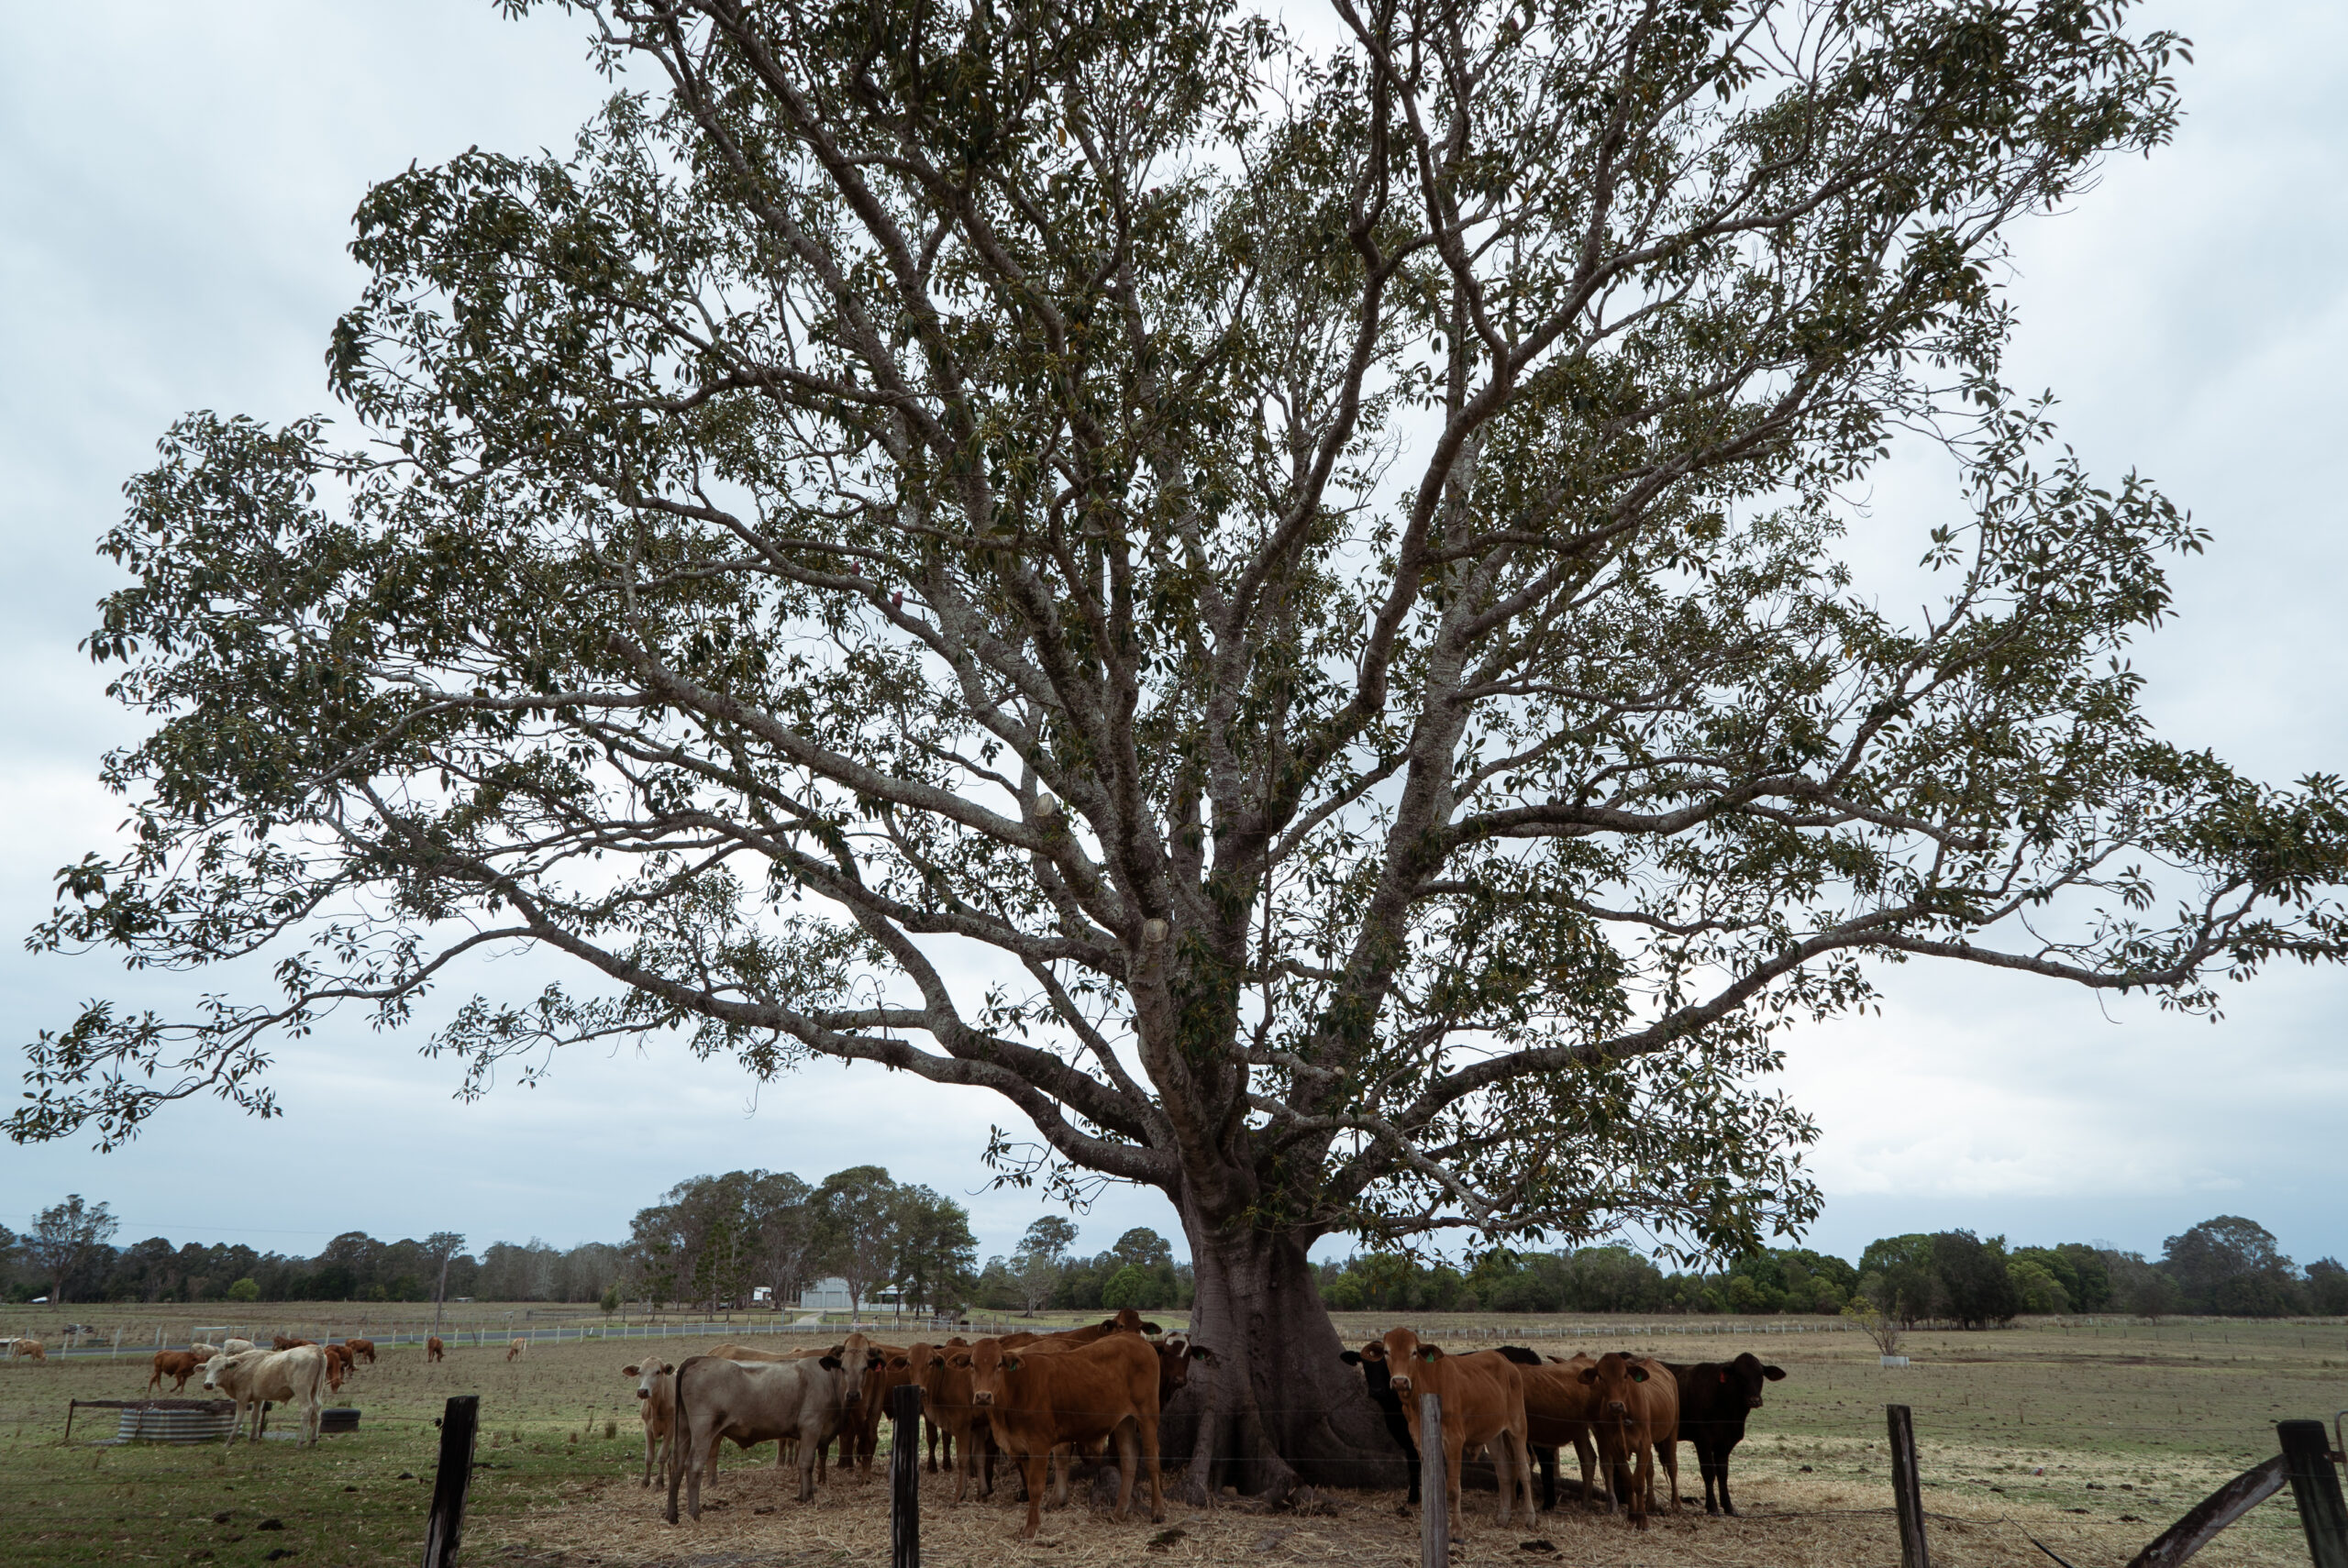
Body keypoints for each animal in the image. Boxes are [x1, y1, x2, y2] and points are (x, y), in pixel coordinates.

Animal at [203, 1352, 326, 1445]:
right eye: (207, 1369)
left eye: (221, 1369)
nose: (208, 1384)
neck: (242, 1366)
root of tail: (315, 1349)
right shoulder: (259, 1398)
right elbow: (255, 1416)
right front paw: (253, 1439)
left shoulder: (242, 1397)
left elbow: (239, 1418)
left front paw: (229, 1442)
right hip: (316, 1390)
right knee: (317, 1408)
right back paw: (313, 1440)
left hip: (301, 1389)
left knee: (307, 1408)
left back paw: (300, 1441)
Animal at [962, 1333, 1164, 1540]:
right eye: (972, 1364)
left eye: (999, 1364)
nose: (983, 1396)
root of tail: (1134, 1338)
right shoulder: (1020, 1447)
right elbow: (1029, 1484)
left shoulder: (1039, 1444)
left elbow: (1036, 1487)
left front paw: (1031, 1528)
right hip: (1124, 1421)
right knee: (1129, 1458)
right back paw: (1119, 1513)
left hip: (1148, 1414)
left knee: (1152, 1459)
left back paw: (1157, 1511)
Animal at [1662, 1352, 1784, 1511]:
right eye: (1740, 1376)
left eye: (1760, 1375)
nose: (1754, 1400)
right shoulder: (1702, 1441)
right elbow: (1708, 1472)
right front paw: (1712, 1507)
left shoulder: (1726, 1443)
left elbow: (1722, 1473)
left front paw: (1728, 1506)